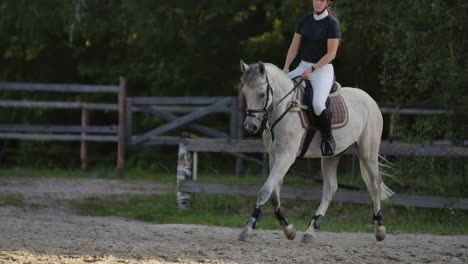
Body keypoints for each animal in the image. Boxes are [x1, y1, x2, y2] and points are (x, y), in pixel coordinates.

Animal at [239, 60, 394, 242]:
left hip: (367, 153)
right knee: (330, 188)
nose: (250, 126)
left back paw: (380, 228)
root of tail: (369, 98)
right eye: (245, 93)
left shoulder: (286, 157)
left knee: (375, 183)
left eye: (262, 94)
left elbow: (265, 191)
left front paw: (248, 228)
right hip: (332, 155)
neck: (284, 108)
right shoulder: (274, 156)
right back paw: (311, 229)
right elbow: (274, 194)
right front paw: (288, 228)